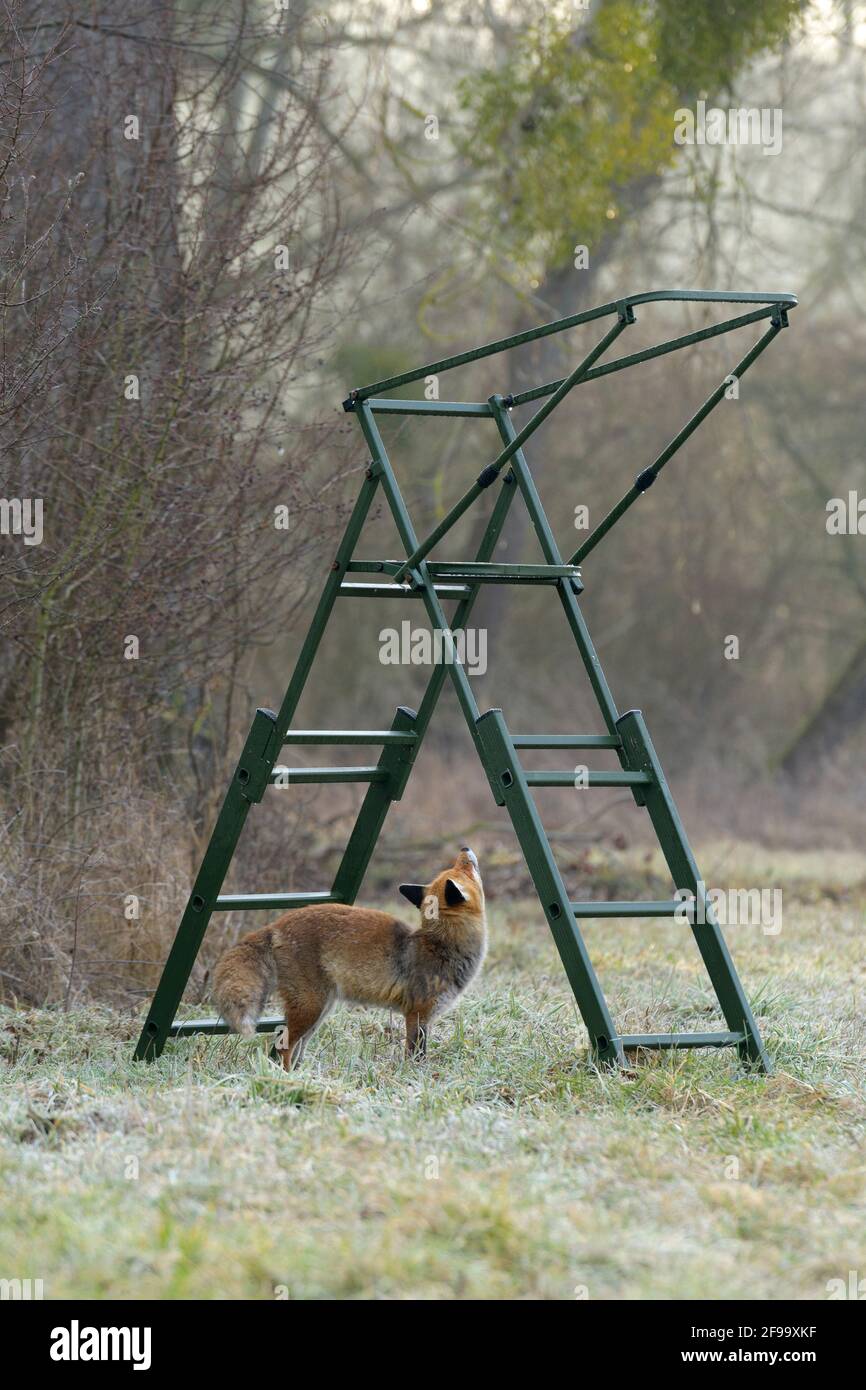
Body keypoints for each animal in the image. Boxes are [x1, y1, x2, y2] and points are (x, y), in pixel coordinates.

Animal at [209, 845, 480, 1061]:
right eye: (465, 868)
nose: (465, 848)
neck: (442, 944)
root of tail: (277, 924)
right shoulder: (418, 1014)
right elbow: (416, 1056)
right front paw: (414, 1076)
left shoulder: (423, 1016)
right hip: (311, 1007)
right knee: (285, 1047)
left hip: (319, 1009)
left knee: (297, 1049)